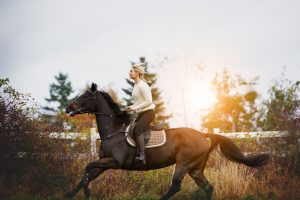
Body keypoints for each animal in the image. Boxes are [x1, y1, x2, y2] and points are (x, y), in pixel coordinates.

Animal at [63, 83, 270, 200]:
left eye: (85, 96)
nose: (68, 108)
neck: (113, 131)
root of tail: (202, 135)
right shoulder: (104, 163)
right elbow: (87, 174)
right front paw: (70, 194)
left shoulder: (115, 162)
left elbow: (88, 168)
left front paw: (86, 194)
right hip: (195, 169)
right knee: (207, 187)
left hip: (184, 164)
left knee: (176, 186)